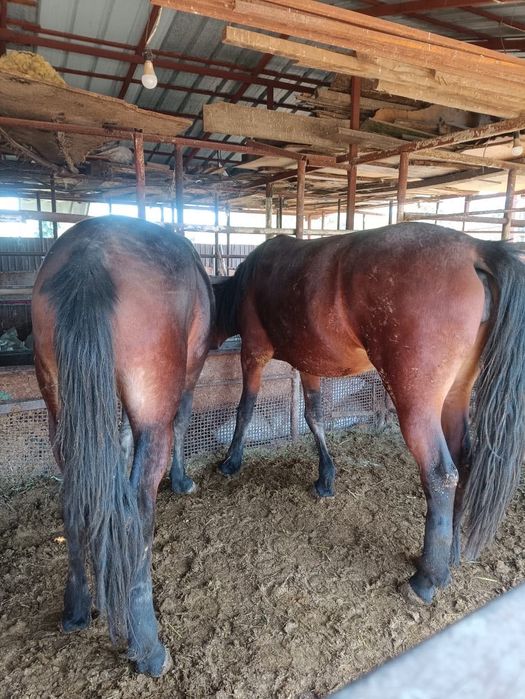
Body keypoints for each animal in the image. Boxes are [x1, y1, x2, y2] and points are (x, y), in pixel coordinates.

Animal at [31, 215, 212, 676]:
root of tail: (90, 258)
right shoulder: (189, 374)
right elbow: (183, 420)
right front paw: (182, 481)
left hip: (60, 411)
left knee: (74, 498)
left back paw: (77, 609)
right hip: (153, 406)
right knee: (138, 509)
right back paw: (147, 643)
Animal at [212, 222, 525, 605]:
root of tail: (474, 249)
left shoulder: (253, 353)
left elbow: (245, 409)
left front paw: (231, 461)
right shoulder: (308, 364)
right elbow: (314, 416)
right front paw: (325, 477)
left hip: (416, 404)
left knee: (441, 473)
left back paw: (427, 577)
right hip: (456, 394)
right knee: (464, 459)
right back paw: (450, 555)